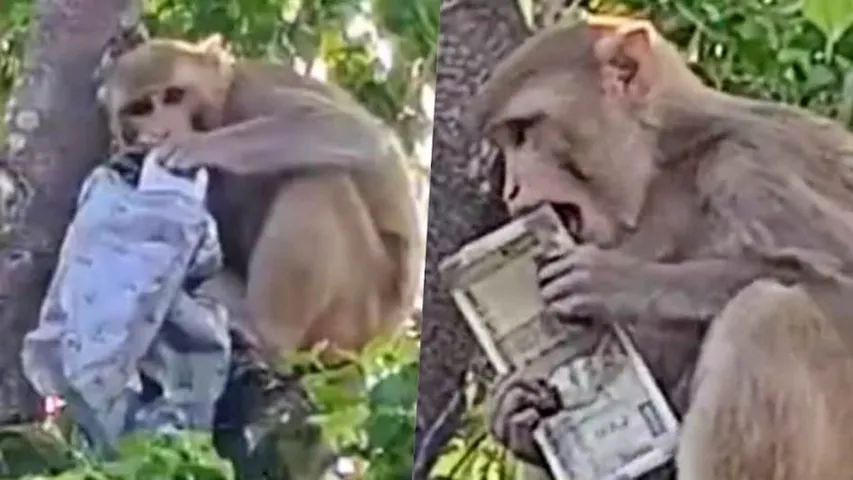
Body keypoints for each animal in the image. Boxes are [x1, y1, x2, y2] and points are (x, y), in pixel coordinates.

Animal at [96, 34, 421, 365]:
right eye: (140, 108)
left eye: (174, 95)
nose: (162, 130)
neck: (221, 109)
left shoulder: (253, 94)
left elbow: (354, 133)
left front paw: (194, 147)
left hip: (358, 310)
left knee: (320, 180)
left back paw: (266, 333)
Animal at [466, 14, 853, 479]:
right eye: (507, 144)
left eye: (523, 132)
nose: (510, 190)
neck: (665, 169)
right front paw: (514, 413)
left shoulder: (749, 167)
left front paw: (621, 282)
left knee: (768, 314)